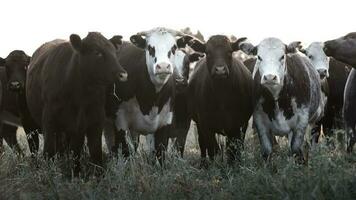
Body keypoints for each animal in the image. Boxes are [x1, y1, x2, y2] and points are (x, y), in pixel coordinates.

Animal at [26, 32, 127, 174]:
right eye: (97, 52)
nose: (123, 74)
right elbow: (49, 152)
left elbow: (94, 153)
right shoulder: (49, 121)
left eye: (114, 52)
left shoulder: (94, 122)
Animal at [186, 35, 253, 165]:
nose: (220, 70)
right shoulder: (205, 124)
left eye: (229, 52)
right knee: (203, 145)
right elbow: (212, 149)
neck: (221, 96)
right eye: (208, 52)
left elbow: (232, 150)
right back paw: (203, 164)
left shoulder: (235, 125)